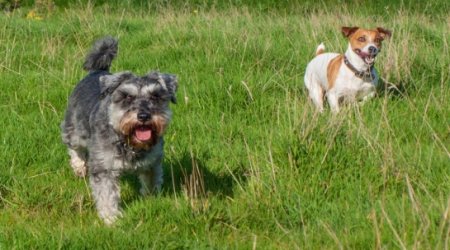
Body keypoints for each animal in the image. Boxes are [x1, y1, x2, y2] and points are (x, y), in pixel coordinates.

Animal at [60, 37, 179, 225]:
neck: (128, 141)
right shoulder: (104, 169)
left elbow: (151, 183)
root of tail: (97, 72)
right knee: (73, 147)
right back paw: (79, 167)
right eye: (127, 96)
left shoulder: (152, 162)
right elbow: (107, 195)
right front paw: (112, 219)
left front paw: (151, 201)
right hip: (74, 129)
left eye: (155, 96)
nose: (143, 116)